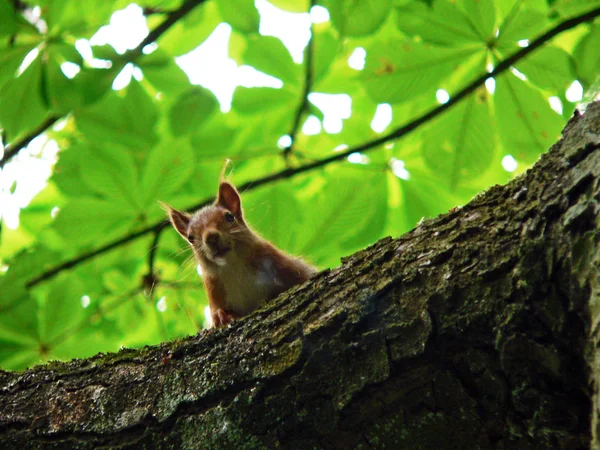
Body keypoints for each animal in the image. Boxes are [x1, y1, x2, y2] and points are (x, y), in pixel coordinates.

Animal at [164, 182, 314, 326]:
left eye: (230, 217)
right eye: (190, 237)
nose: (211, 237)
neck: (233, 267)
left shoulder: (280, 263)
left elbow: (304, 276)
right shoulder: (214, 289)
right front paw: (220, 315)